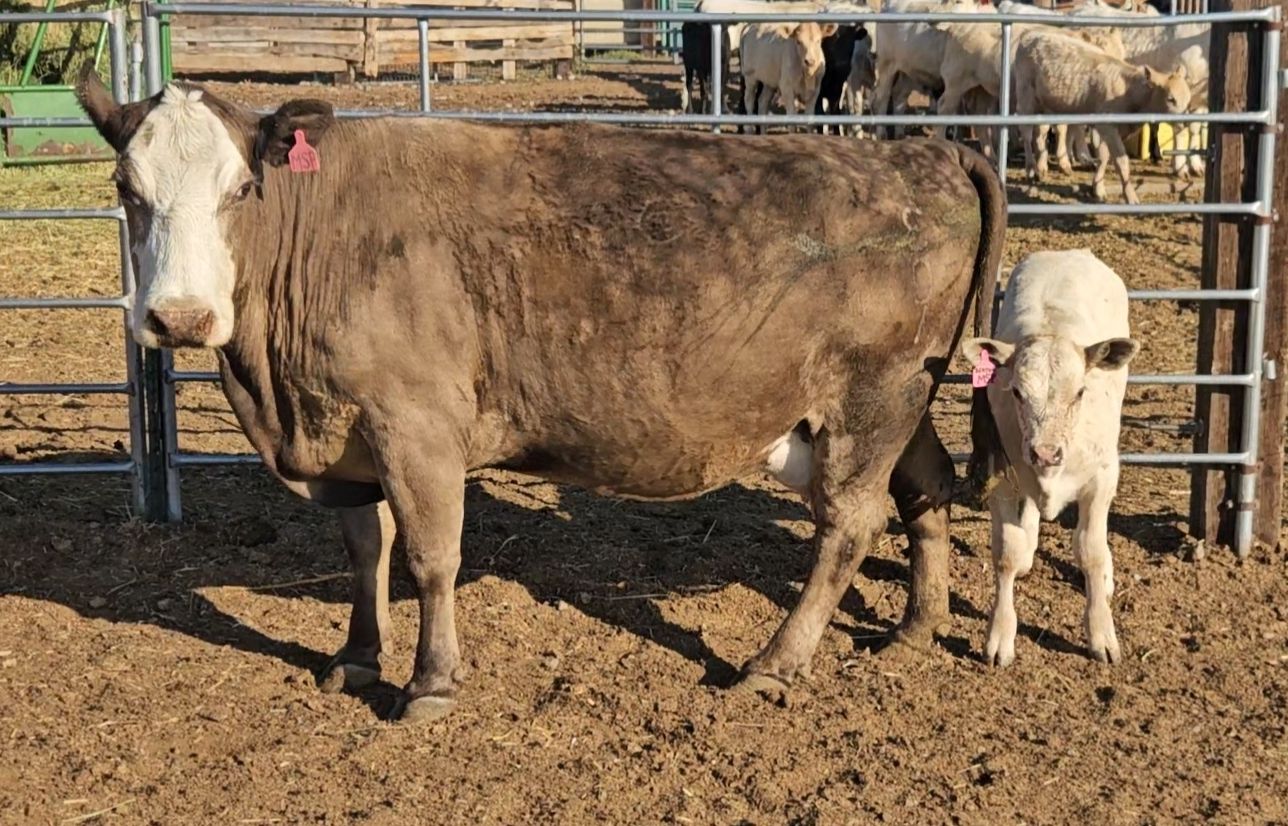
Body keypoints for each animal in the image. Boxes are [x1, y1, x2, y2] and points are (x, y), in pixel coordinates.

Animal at [75, 66, 1005, 720]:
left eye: (240, 189)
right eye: (125, 188)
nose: (181, 318)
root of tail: (924, 149)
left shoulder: (416, 426)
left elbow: (431, 557)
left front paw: (431, 682)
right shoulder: (347, 436)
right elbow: (365, 550)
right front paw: (358, 656)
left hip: (869, 400)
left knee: (849, 524)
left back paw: (774, 665)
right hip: (907, 401)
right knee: (926, 489)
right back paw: (915, 628)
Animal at [962, 249, 1138, 667]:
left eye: (1080, 392)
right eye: (1017, 392)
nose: (1045, 451)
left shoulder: (1102, 477)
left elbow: (1090, 550)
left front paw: (1101, 633)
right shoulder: (1000, 474)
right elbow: (1006, 554)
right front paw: (1000, 636)